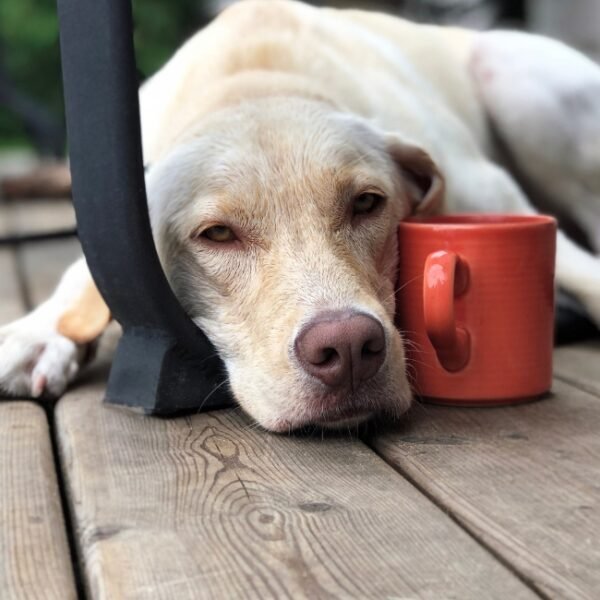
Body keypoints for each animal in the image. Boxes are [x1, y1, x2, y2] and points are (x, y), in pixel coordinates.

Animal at [1, 0, 600, 432]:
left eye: (366, 203)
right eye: (218, 234)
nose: (349, 350)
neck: (256, 80)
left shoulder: (492, 191)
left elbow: (585, 270)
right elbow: (83, 272)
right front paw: (39, 331)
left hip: (514, 79)